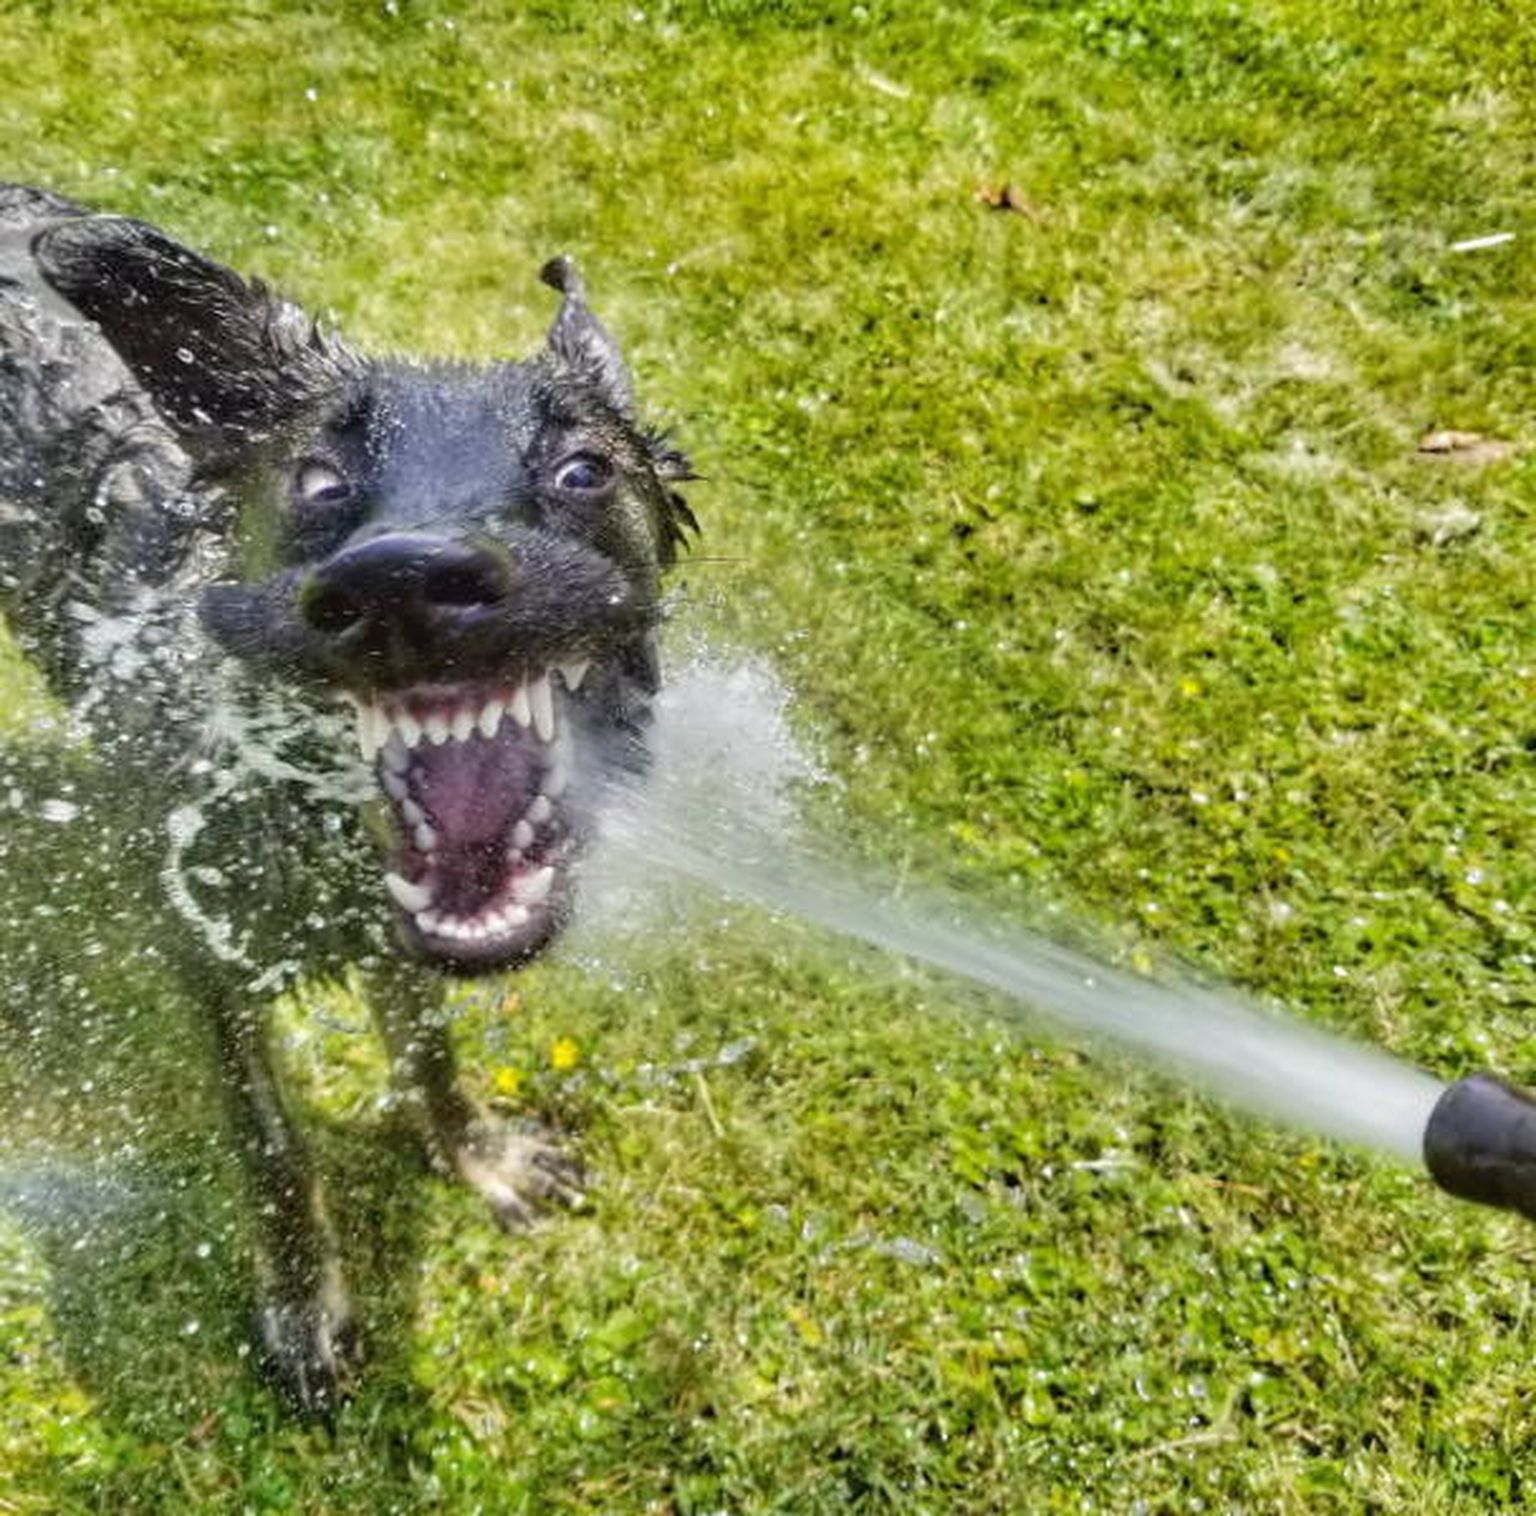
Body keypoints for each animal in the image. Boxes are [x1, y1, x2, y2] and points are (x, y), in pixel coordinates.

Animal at [0, 183, 697, 1419]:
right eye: (318, 481)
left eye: (582, 469)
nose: (403, 580)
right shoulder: (202, 952)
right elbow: (274, 1146)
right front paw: (305, 1308)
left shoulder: (392, 926)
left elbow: (425, 1049)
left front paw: (477, 1153)